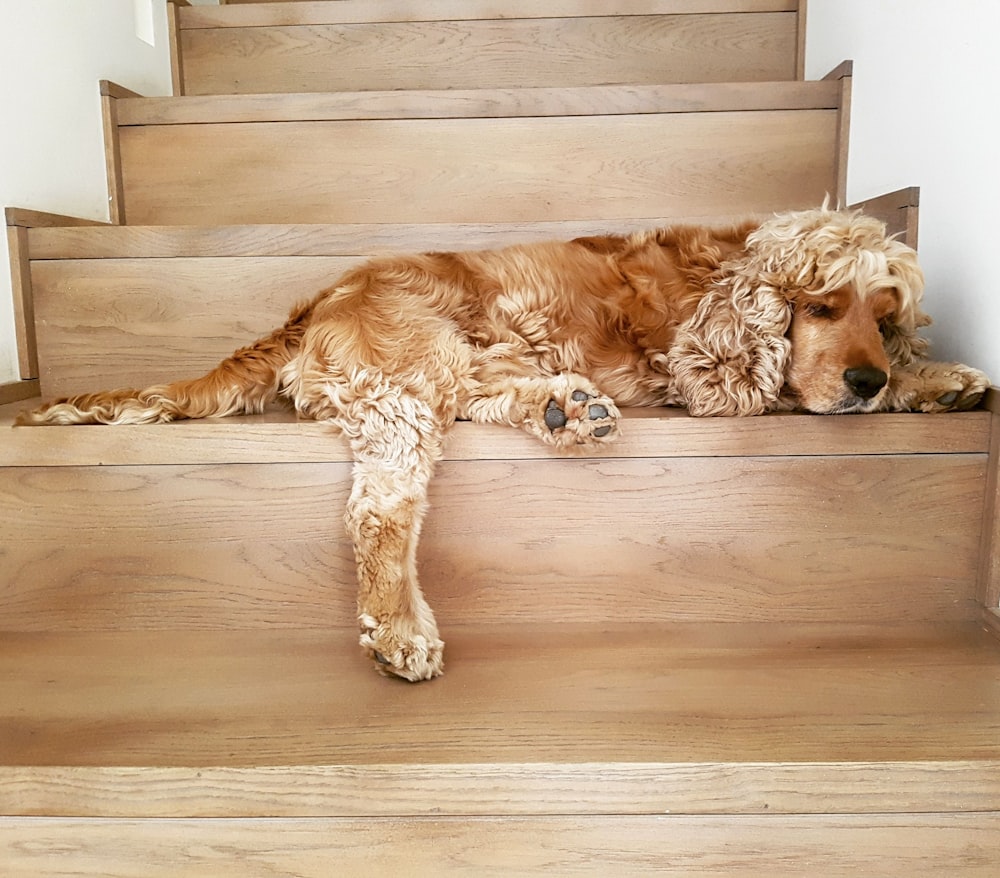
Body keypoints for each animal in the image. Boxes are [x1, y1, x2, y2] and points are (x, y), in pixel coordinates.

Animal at [17, 210, 992, 684]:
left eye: (885, 311)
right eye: (822, 306)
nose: (864, 384)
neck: (726, 279)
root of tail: (316, 303)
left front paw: (938, 378)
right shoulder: (705, 371)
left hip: (459, 358)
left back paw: (568, 408)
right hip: (411, 370)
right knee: (381, 511)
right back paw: (400, 630)